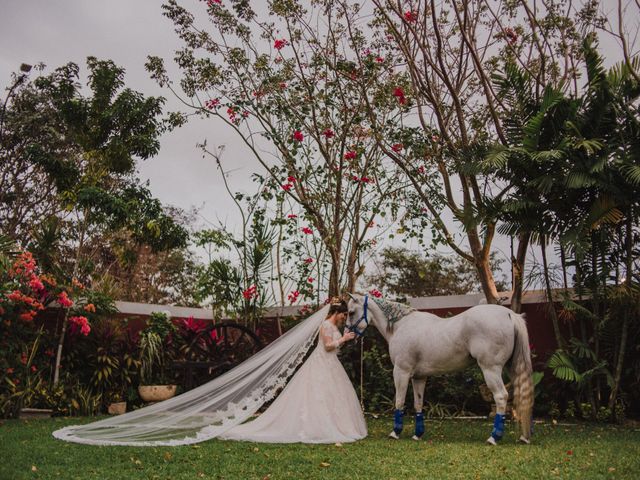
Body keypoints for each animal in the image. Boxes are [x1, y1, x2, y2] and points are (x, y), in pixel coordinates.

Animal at [348, 294, 532, 444]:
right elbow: (418, 403)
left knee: (501, 396)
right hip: (511, 369)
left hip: (491, 370)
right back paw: (524, 436)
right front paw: (417, 434)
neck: (402, 325)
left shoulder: (401, 372)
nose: (349, 335)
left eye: (350, 312)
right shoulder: (418, 377)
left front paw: (395, 432)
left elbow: (399, 401)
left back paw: (494, 437)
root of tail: (509, 314)